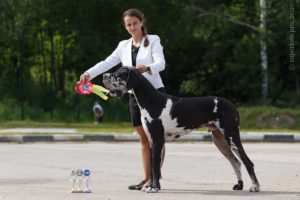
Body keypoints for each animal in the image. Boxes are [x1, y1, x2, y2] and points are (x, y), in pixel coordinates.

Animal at [103, 67, 260, 194]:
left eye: (118, 74)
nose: (104, 76)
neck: (151, 101)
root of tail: (233, 106)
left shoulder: (158, 140)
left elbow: (155, 167)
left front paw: (154, 187)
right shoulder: (152, 141)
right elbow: (153, 167)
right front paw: (150, 186)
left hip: (231, 136)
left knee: (247, 162)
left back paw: (255, 187)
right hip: (219, 139)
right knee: (236, 162)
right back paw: (239, 186)